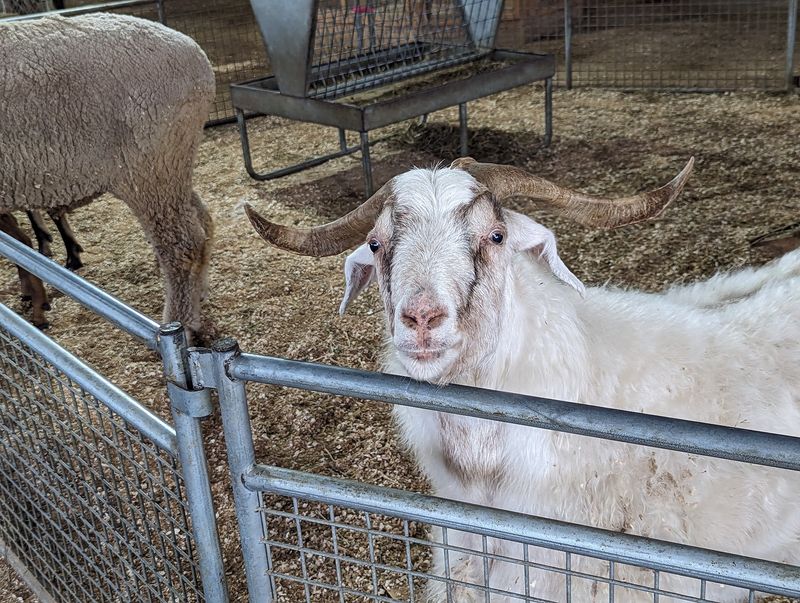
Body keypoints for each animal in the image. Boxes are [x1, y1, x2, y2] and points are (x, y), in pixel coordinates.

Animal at [0, 14, 215, 339]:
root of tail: (196, 54)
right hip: (174, 162)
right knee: (203, 223)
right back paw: (197, 300)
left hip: (149, 167)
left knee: (182, 246)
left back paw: (179, 327)